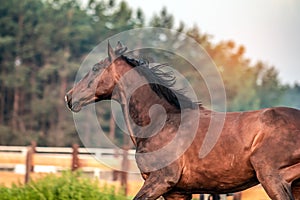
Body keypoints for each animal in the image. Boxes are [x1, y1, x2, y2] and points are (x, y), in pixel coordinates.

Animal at [65, 41, 300, 199]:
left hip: (272, 176)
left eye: (95, 68)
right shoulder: (177, 191)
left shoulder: (161, 180)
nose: (69, 97)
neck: (161, 123)